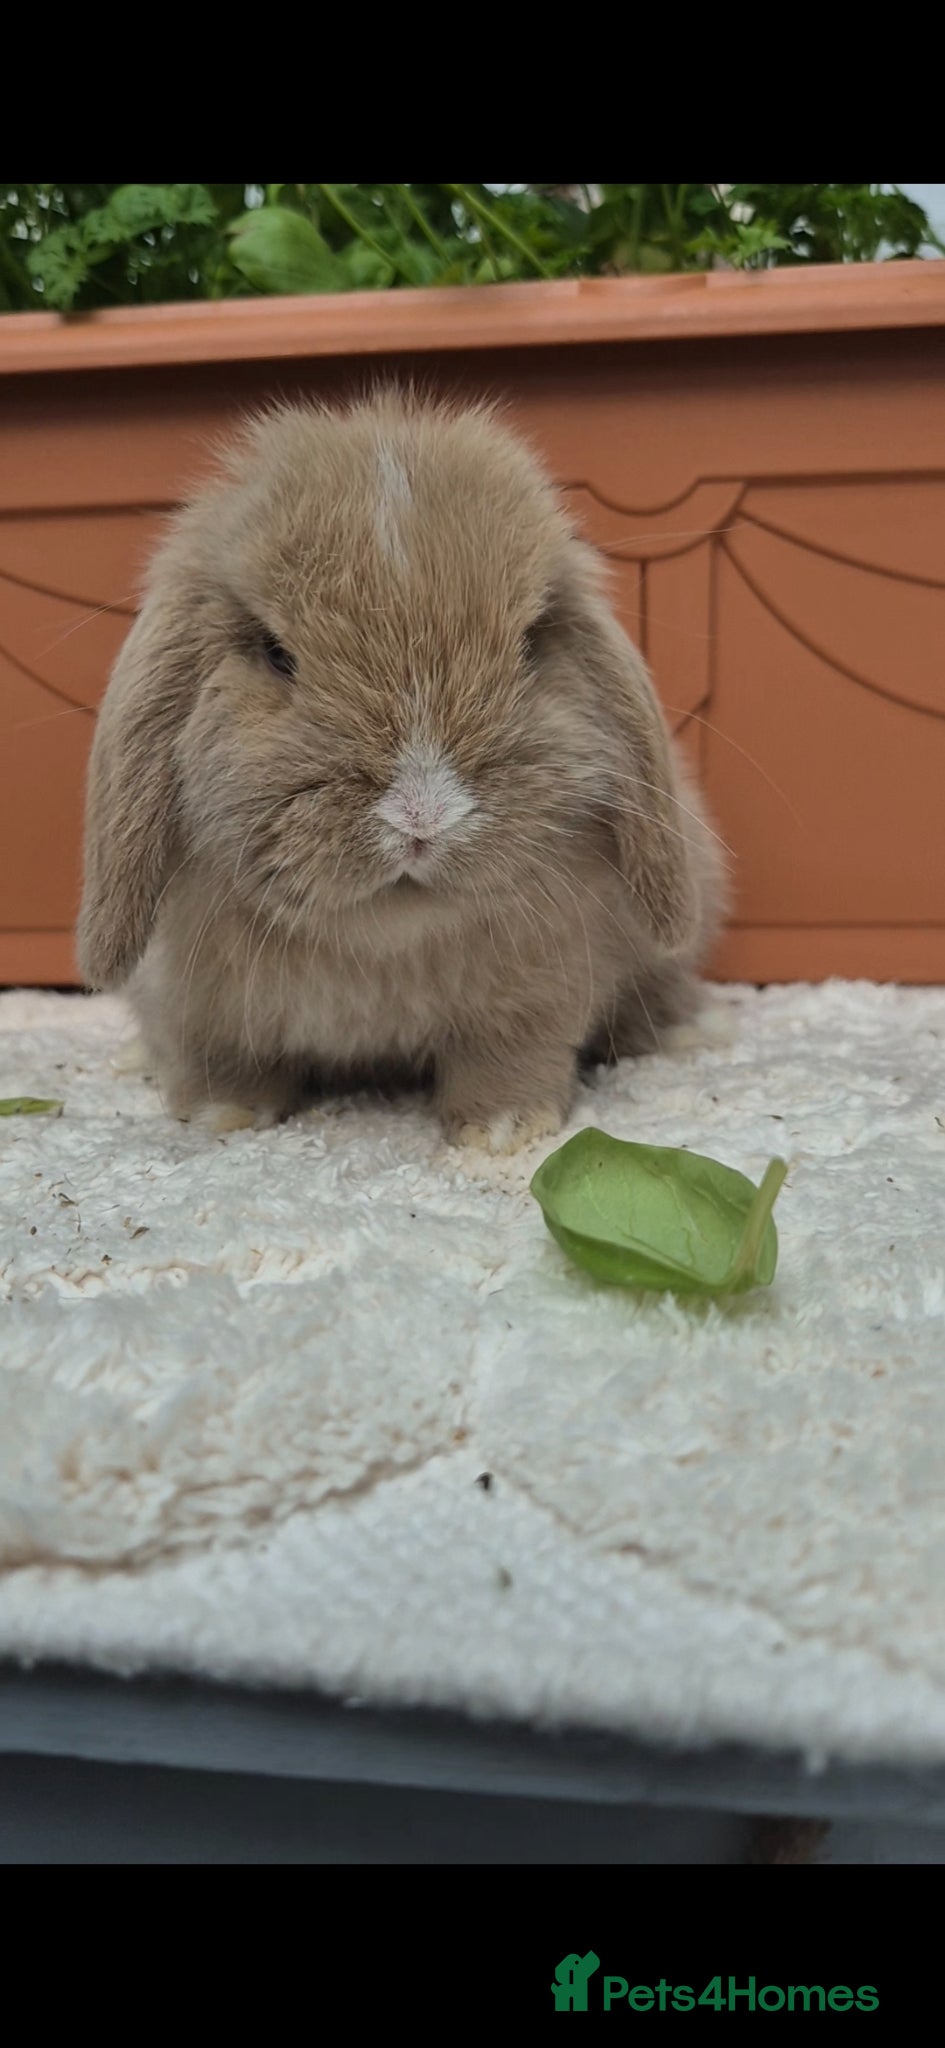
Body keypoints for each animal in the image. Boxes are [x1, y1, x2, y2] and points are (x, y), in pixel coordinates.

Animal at [78, 389, 728, 1153]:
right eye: (274, 652)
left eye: (530, 642)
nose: (421, 818)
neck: (384, 945)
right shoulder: (200, 1007)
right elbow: (227, 1061)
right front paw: (220, 1118)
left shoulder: (534, 999)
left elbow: (510, 1060)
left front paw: (503, 1132)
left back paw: (685, 1034)